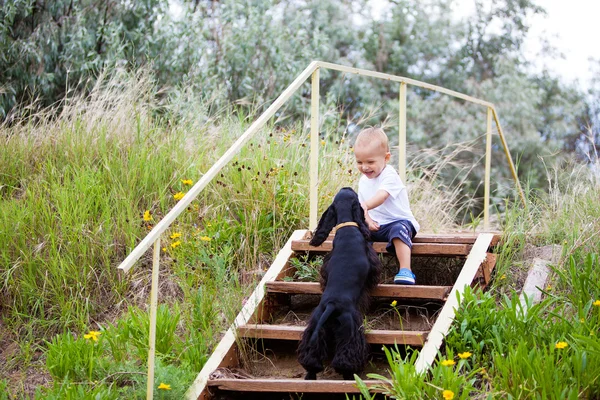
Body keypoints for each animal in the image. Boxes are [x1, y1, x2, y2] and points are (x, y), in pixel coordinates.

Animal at [298, 188, 382, 382]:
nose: (347, 187)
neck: (347, 227)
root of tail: (331, 305)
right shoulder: (372, 261)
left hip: (316, 328)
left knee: (311, 357)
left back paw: (310, 374)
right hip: (350, 330)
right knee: (345, 358)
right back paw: (351, 375)